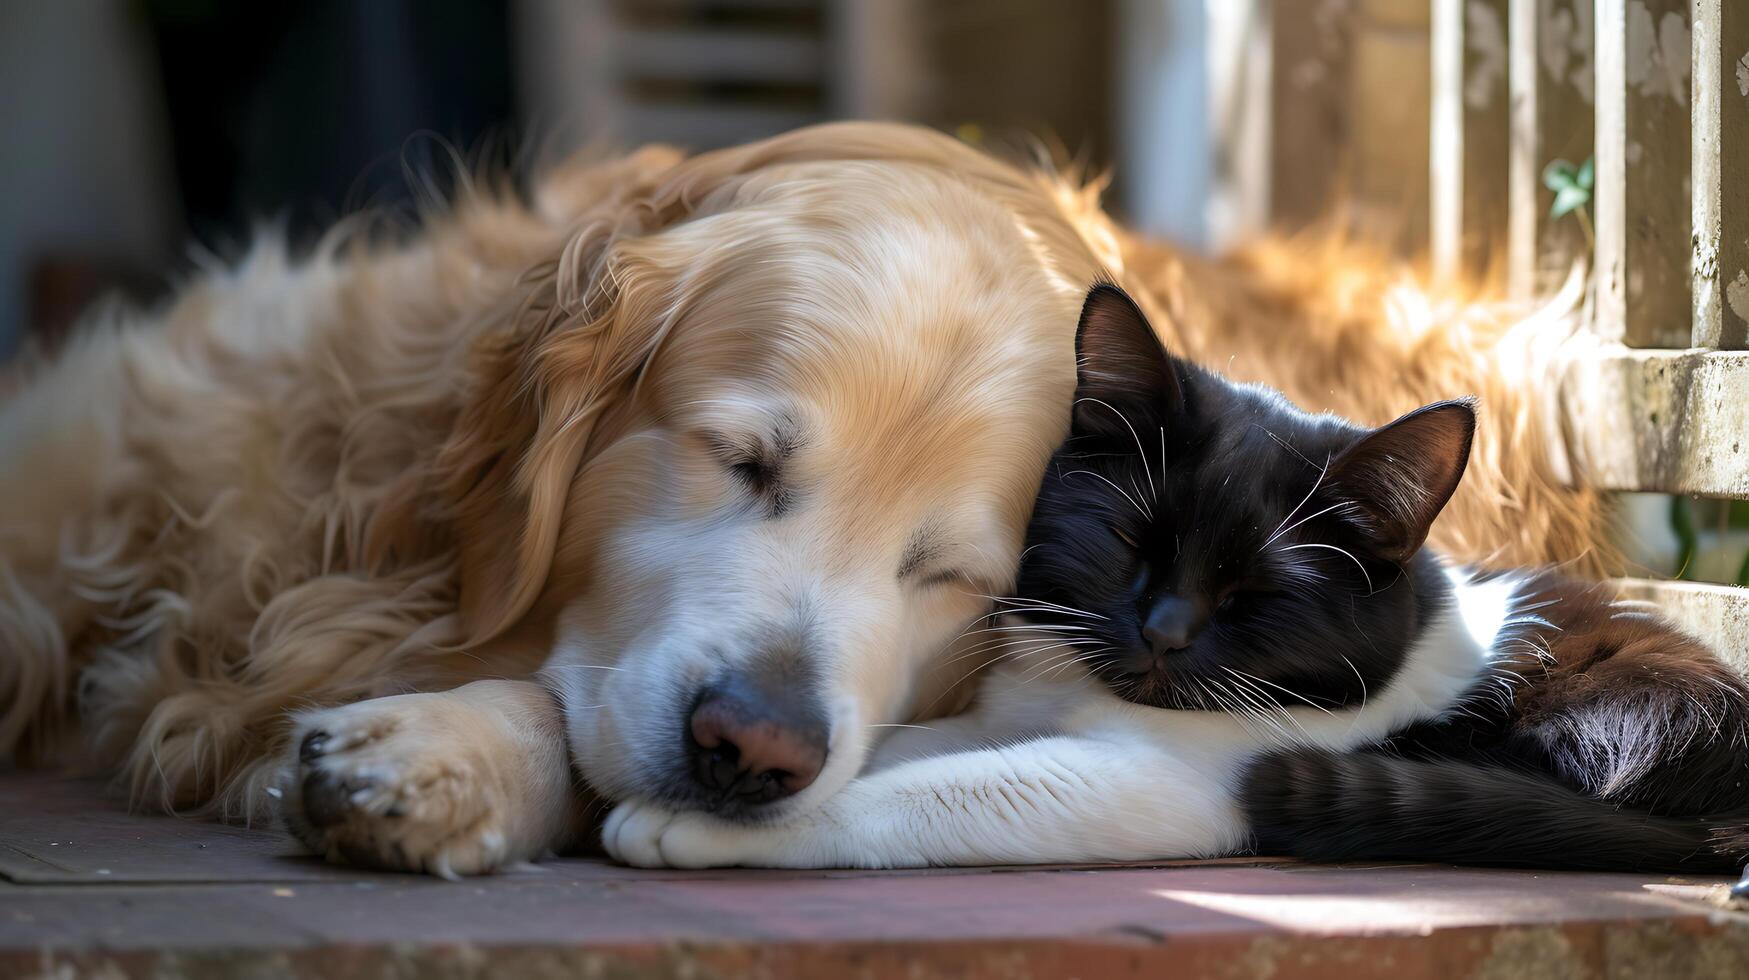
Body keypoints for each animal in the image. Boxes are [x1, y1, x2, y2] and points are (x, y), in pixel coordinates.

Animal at [601, 281, 1749, 871]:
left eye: (1257, 596)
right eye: (1129, 545)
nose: (1161, 631)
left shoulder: (1157, 781)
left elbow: (939, 789)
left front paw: (693, 823)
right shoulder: (1018, 706)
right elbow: (917, 747)